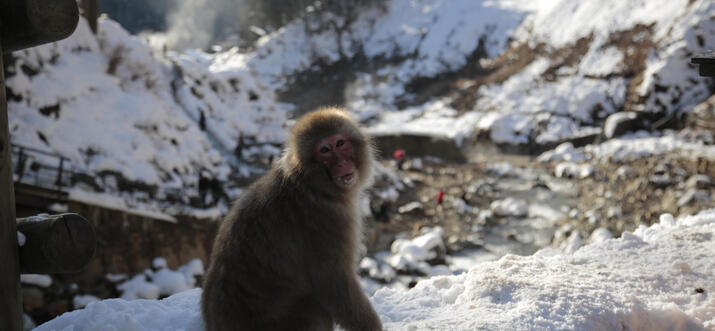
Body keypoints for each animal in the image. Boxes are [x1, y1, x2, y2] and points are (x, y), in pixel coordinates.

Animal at [201, 107, 384, 330]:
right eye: (325, 150)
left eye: (340, 143)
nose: (341, 163)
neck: (311, 184)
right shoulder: (327, 221)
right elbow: (333, 282)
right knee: (316, 310)